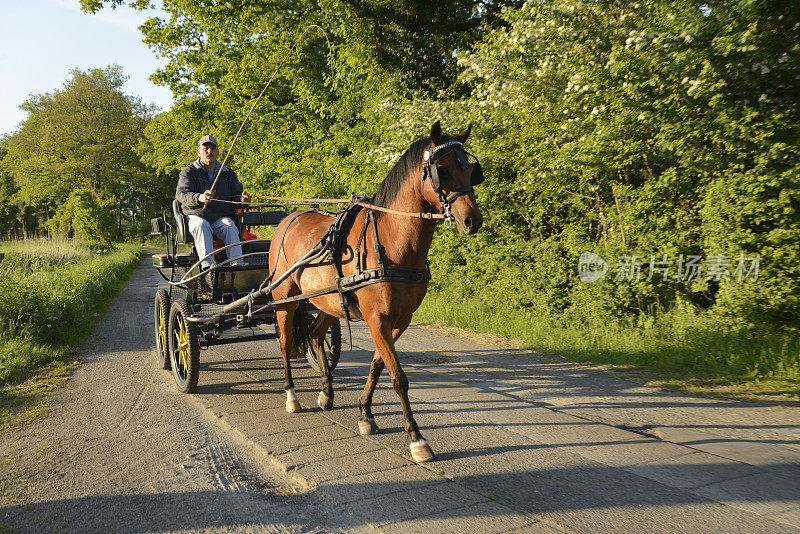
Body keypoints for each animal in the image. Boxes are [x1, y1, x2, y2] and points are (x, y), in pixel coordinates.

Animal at [268, 120, 484, 460]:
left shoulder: (400, 320)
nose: (471, 220)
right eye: (442, 169)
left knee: (315, 334)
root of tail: (290, 217)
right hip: (284, 299)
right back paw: (291, 396)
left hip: (329, 302)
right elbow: (398, 377)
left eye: (471, 169)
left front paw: (365, 415)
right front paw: (416, 438)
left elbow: (377, 365)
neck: (392, 245)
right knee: (286, 342)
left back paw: (327, 392)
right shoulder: (377, 318)